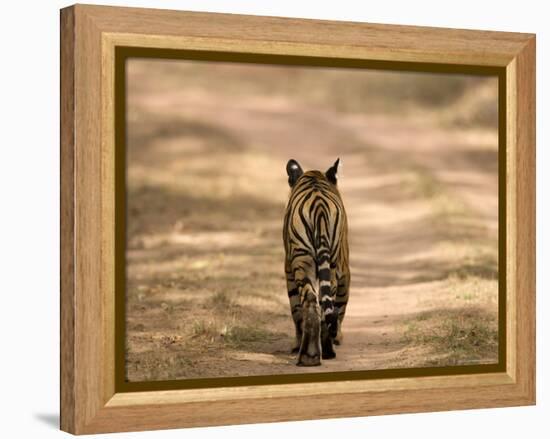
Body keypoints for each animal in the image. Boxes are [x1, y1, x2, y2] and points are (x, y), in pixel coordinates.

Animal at [284, 159, 354, 368]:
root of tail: (319, 205)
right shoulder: (345, 272)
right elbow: (340, 308)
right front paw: (337, 337)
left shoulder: (288, 268)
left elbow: (296, 310)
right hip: (326, 266)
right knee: (321, 305)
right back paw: (321, 352)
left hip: (303, 261)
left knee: (311, 302)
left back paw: (310, 355)